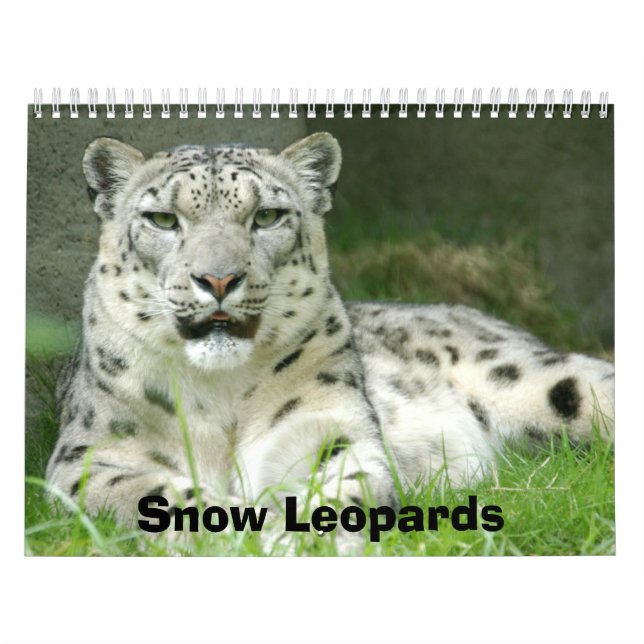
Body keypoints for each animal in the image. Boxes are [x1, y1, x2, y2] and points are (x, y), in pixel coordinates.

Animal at [45, 132, 615, 531]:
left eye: (267, 216)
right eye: (162, 219)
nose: (219, 279)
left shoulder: (327, 427)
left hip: (546, 382)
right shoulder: (93, 457)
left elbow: (343, 489)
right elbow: (156, 498)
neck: (221, 396)